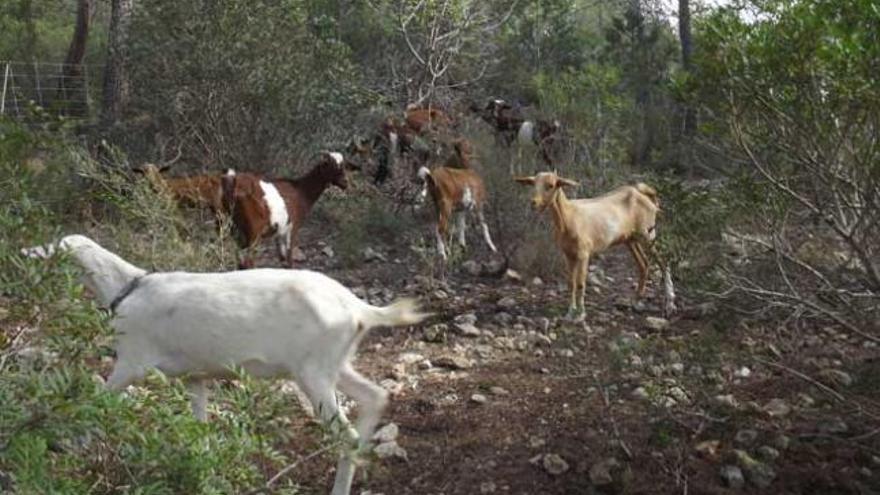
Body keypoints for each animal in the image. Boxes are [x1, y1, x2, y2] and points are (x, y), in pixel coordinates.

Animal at [22, 235, 428, 495]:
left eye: (54, 252)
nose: (24, 258)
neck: (126, 290)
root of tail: (358, 308)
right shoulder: (195, 376)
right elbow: (199, 429)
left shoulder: (132, 362)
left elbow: (98, 398)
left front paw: (67, 443)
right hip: (334, 365)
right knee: (375, 396)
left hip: (312, 372)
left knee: (348, 434)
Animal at [223, 153, 358, 270]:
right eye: (332, 166)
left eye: (344, 166)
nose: (345, 182)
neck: (301, 191)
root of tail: (235, 184)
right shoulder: (292, 227)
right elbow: (289, 259)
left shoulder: (280, 231)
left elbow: (283, 259)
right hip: (253, 232)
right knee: (248, 262)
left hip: (234, 229)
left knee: (240, 261)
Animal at [512, 172, 672, 322]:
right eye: (533, 184)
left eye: (551, 185)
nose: (534, 202)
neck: (569, 217)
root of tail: (642, 193)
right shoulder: (568, 255)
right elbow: (571, 283)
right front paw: (570, 313)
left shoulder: (583, 254)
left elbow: (581, 283)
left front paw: (581, 314)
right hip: (630, 239)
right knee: (644, 264)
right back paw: (636, 301)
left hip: (648, 234)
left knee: (664, 263)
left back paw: (670, 304)